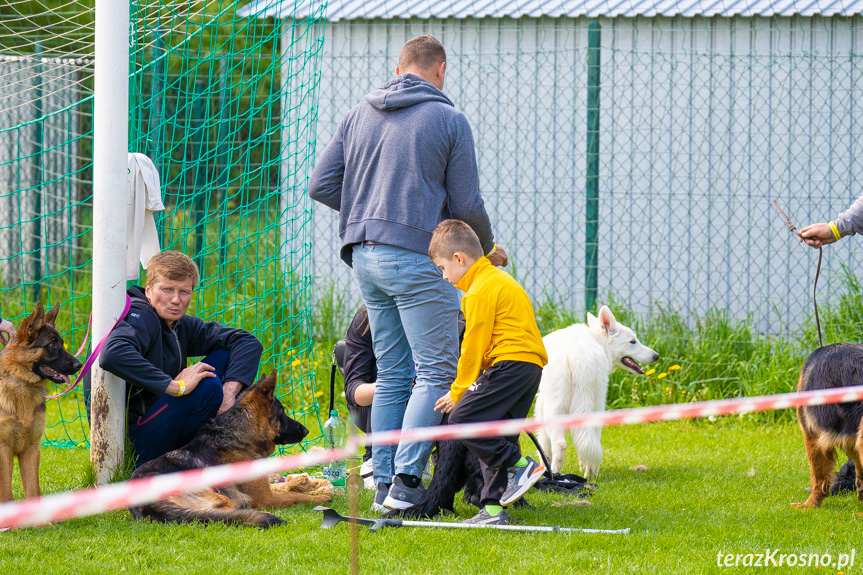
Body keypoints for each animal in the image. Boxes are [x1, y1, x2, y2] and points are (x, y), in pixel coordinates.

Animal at [0, 304, 82, 502]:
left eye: (61, 342)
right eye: (52, 344)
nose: (79, 365)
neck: (21, 384)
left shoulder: (31, 449)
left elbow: (33, 491)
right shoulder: (3, 451)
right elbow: (6, 495)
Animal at [130, 372, 332, 528]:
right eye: (282, 412)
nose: (306, 431)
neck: (240, 435)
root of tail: (146, 502)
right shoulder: (267, 497)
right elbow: (296, 494)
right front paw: (321, 497)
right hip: (222, 498)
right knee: (225, 515)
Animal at [532, 306, 660, 476]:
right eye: (633, 341)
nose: (656, 356)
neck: (596, 340)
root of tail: (579, 356)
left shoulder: (541, 406)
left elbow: (543, 446)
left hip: (555, 409)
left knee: (560, 444)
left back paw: (555, 473)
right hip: (596, 404)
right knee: (593, 442)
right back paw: (591, 474)